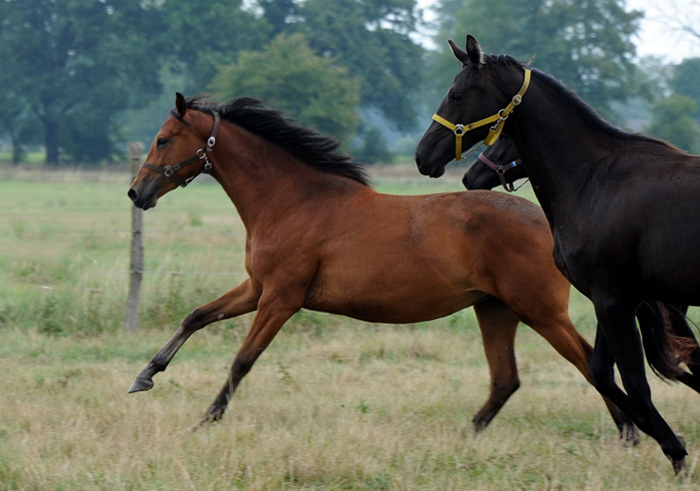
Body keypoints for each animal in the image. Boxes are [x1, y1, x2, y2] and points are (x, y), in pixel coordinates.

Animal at [126, 92, 636, 438]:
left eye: (163, 139)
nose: (136, 193)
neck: (292, 201)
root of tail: (547, 222)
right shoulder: (257, 288)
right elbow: (196, 316)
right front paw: (145, 375)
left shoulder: (281, 299)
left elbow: (241, 361)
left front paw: (203, 422)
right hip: (494, 309)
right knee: (505, 381)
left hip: (539, 312)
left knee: (591, 365)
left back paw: (631, 432)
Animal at [412, 34, 700, 472]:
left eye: (457, 94)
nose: (422, 156)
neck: (596, 180)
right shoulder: (613, 299)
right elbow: (604, 373)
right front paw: (663, 438)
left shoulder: (615, 302)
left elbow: (635, 383)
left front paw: (677, 453)